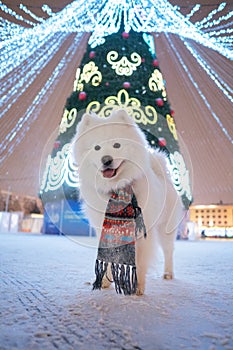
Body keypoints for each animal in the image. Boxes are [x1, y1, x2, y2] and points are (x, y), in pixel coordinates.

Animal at [72, 109, 183, 296]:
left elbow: (140, 261)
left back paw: (168, 274)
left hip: (166, 228)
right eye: (96, 147)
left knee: (169, 251)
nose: (106, 159)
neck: (115, 188)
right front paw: (104, 283)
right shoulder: (105, 229)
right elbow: (108, 259)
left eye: (117, 145)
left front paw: (138, 288)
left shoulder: (143, 232)